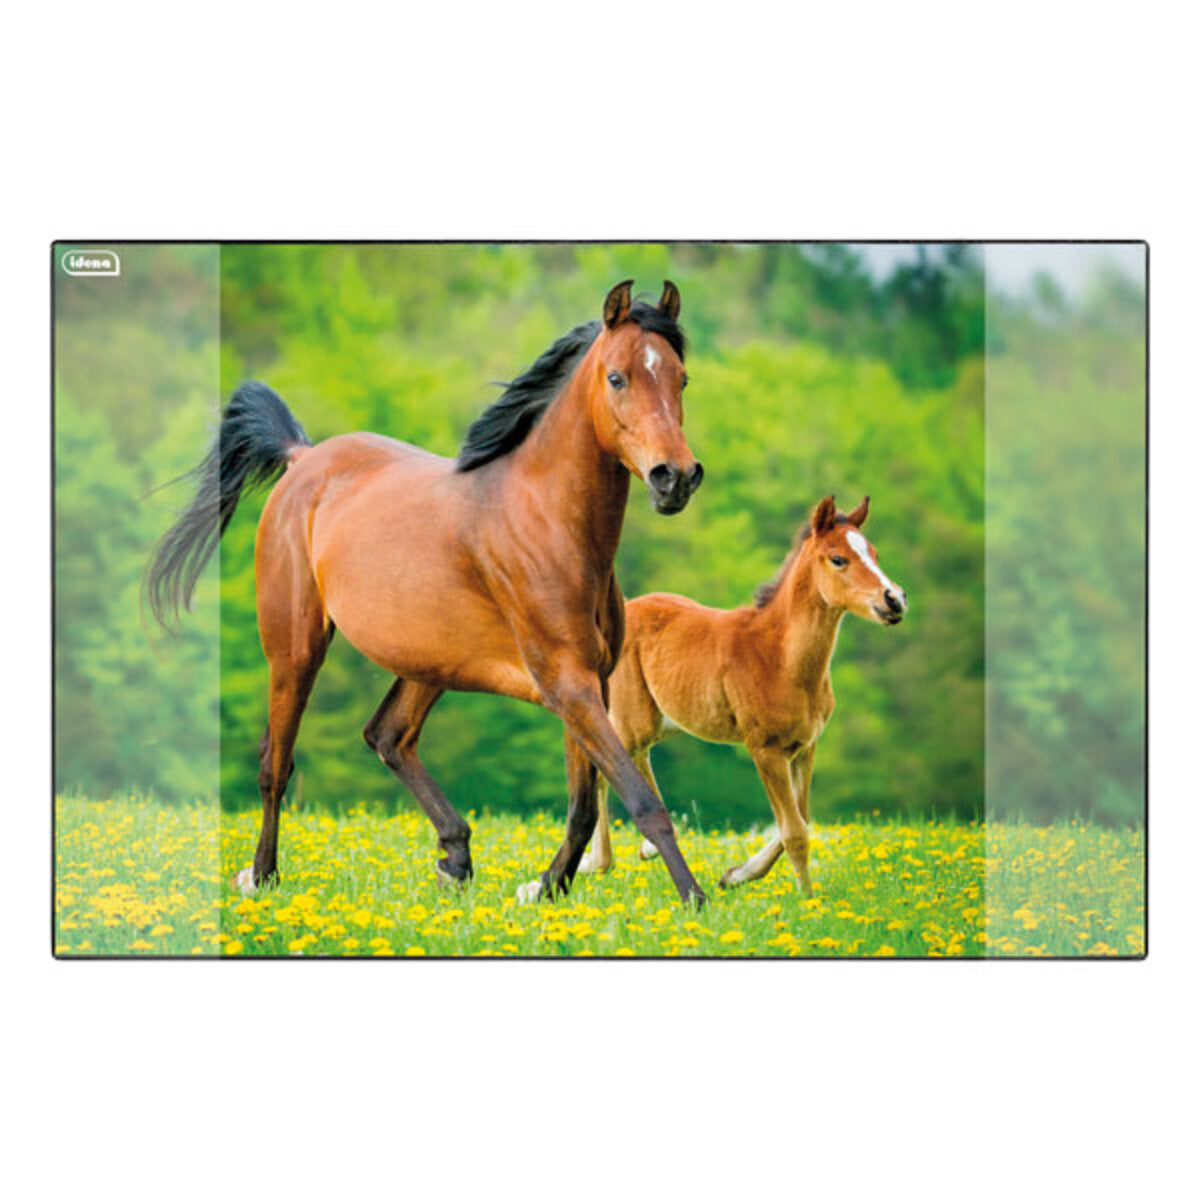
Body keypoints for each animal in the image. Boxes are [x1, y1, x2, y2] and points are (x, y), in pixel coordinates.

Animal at [147, 279, 710, 906]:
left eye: (681, 378)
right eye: (617, 377)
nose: (675, 478)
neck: (550, 524)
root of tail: (303, 457)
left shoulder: (588, 683)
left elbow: (584, 806)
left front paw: (546, 888)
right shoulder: (568, 683)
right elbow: (641, 801)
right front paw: (695, 900)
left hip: (428, 661)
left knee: (387, 735)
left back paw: (455, 856)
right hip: (295, 649)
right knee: (278, 761)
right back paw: (262, 875)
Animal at [575, 494, 907, 897]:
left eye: (873, 552)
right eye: (838, 558)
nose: (894, 600)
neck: (781, 657)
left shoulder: (805, 747)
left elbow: (802, 818)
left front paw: (737, 874)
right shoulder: (764, 749)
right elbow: (794, 831)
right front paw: (808, 900)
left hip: (659, 721)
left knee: (632, 761)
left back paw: (645, 848)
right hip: (633, 719)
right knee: (606, 763)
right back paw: (598, 861)